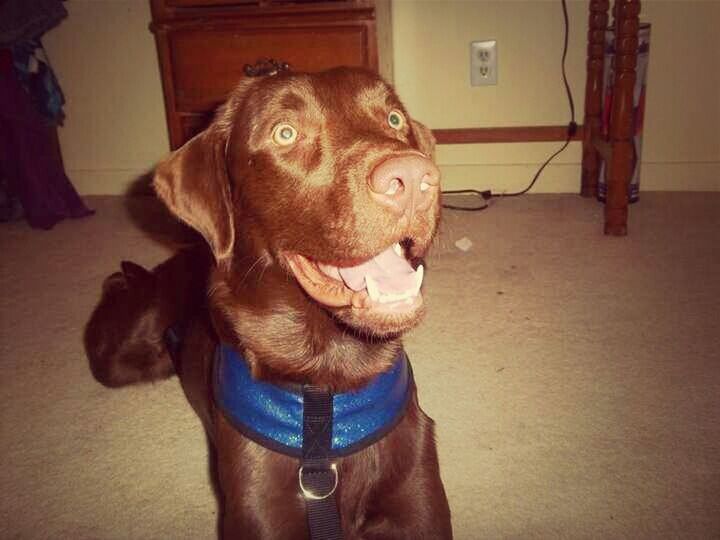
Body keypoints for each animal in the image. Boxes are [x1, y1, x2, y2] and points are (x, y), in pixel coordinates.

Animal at [87, 68, 452, 540]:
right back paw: (123, 276)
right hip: (120, 352)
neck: (325, 401)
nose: (412, 178)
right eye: (285, 133)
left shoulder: (417, 505)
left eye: (393, 118)